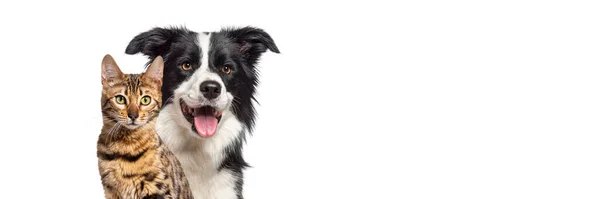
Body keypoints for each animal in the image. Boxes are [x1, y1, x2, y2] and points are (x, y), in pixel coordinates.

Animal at [97, 54, 193, 199]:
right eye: (120, 99)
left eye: (145, 100)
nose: (133, 115)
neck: (126, 146)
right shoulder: (110, 191)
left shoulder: (159, 188)